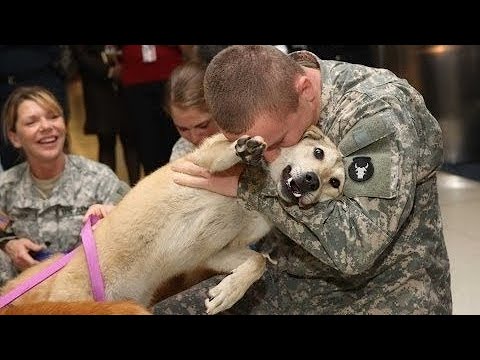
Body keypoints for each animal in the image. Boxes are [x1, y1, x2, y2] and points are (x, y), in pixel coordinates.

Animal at [0, 125, 344, 314]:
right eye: (317, 153)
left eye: (335, 183)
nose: (312, 181)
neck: (252, 199)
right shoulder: (200, 161)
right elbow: (222, 153)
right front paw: (244, 150)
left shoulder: (216, 253)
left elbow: (257, 262)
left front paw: (228, 292)